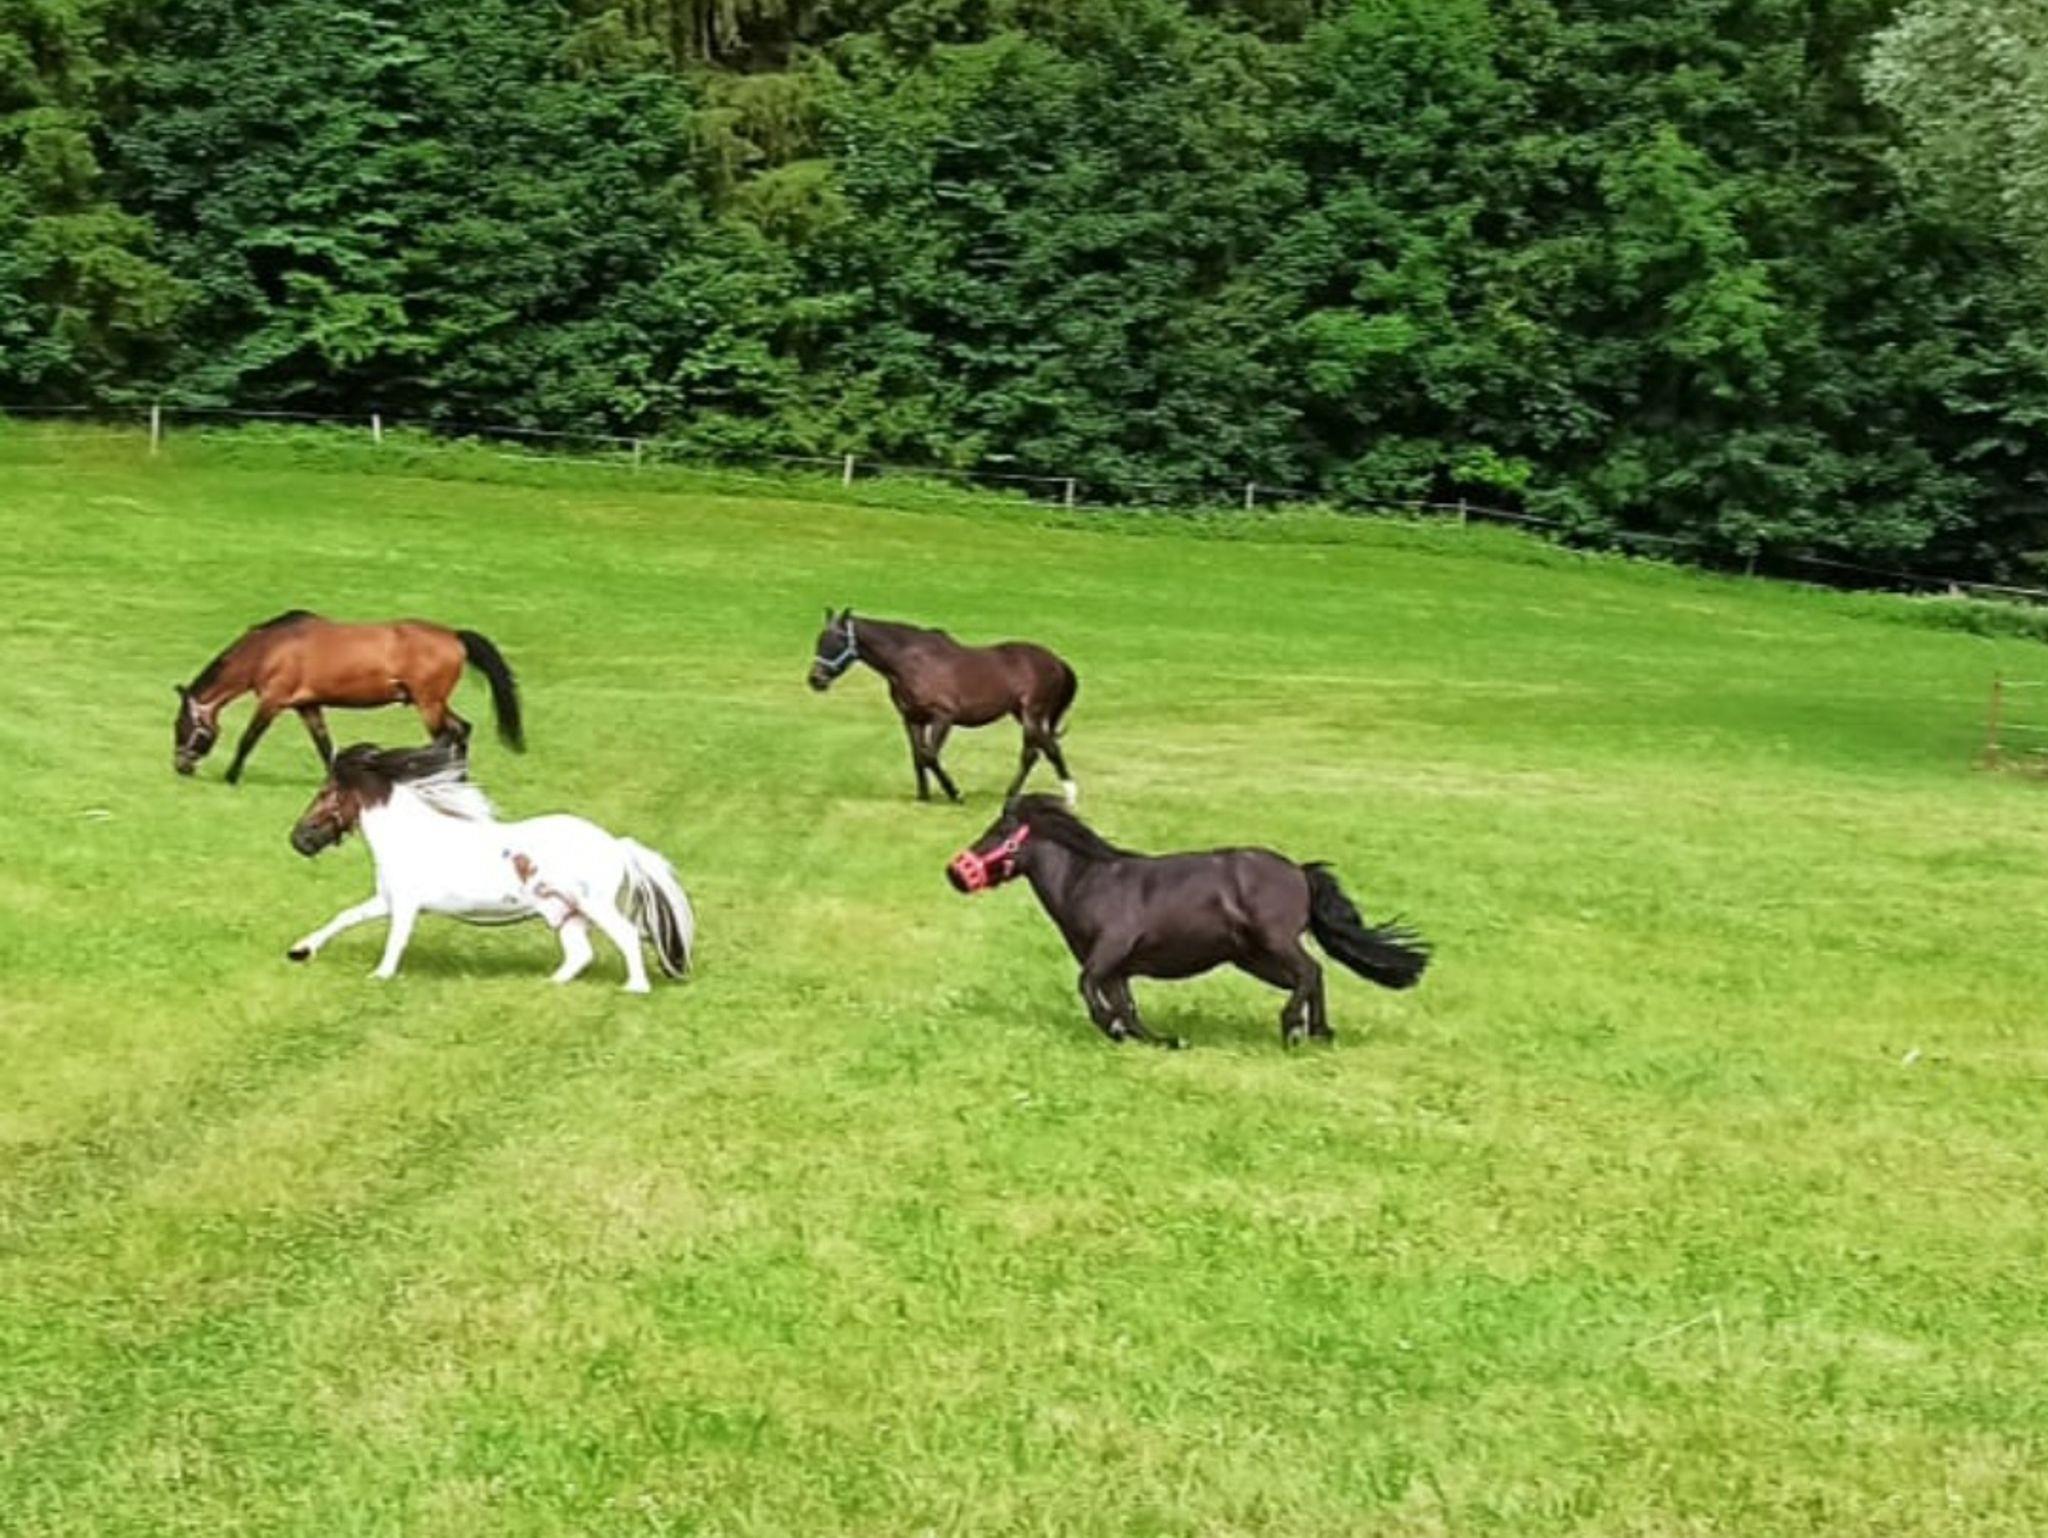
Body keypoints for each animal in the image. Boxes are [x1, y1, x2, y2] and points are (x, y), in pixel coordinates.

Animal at [173, 611, 524, 783]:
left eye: (181, 728)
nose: (181, 767)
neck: (268, 650)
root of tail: (454, 636)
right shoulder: (307, 706)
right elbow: (324, 745)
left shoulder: (272, 701)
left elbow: (248, 739)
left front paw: (231, 776)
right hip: (432, 703)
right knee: (462, 730)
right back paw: (458, 778)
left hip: (428, 704)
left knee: (446, 736)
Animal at [284, 741, 693, 992]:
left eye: (325, 793)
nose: (298, 839)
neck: (408, 837)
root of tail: (616, 845)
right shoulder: (386, 899)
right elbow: (344, 917)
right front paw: (300, 951)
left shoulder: (405, 905)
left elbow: (395, 940)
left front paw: (380, 975)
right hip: (566, 912)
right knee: (580, 954)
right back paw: (547, 984)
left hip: (594, 904)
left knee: (626, 935)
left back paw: (635, 987)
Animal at [807, 608, 1079, 804]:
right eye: (819, 640)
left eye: (838, 640)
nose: (815, 680)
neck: (910, 662)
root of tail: (1056, 660)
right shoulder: (912, 719)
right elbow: (918, 757)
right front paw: (924, 796)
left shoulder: (943, 717)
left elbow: (929, 755)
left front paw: (955, 793)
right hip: (1021, 714)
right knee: (1040, 750)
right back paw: (1016, 793)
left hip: (1032, 713)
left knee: (1042, 750)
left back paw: (1068, 796)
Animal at [946, 796, 1429, 1048]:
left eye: (998, 832)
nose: (954, 872)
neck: (1088, 882)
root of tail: (1299, 871)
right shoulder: (1118, 968)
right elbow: (1125, 1005)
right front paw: (1158, 1039)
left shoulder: (1109, 951)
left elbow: (1089, 988)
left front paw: (1113, 1029)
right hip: (1253, 957)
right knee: (1312, 977)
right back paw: (1318, 1031)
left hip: (1275, 943)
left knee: (1310, 972)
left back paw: (1293, 1027)